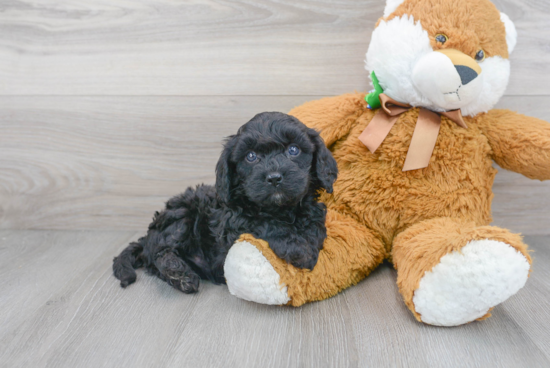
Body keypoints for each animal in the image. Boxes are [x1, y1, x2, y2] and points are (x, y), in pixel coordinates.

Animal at [113, 112, 338, 294]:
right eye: (251, 156)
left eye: (293, 150)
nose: (274, 178)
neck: (280, 209)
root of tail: (148, 236)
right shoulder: (231, 222)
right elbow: (262, 222)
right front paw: (298, 249)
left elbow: (315, 224)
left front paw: (310, 242)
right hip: (182, 214)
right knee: (159, 252)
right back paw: (180, 274)